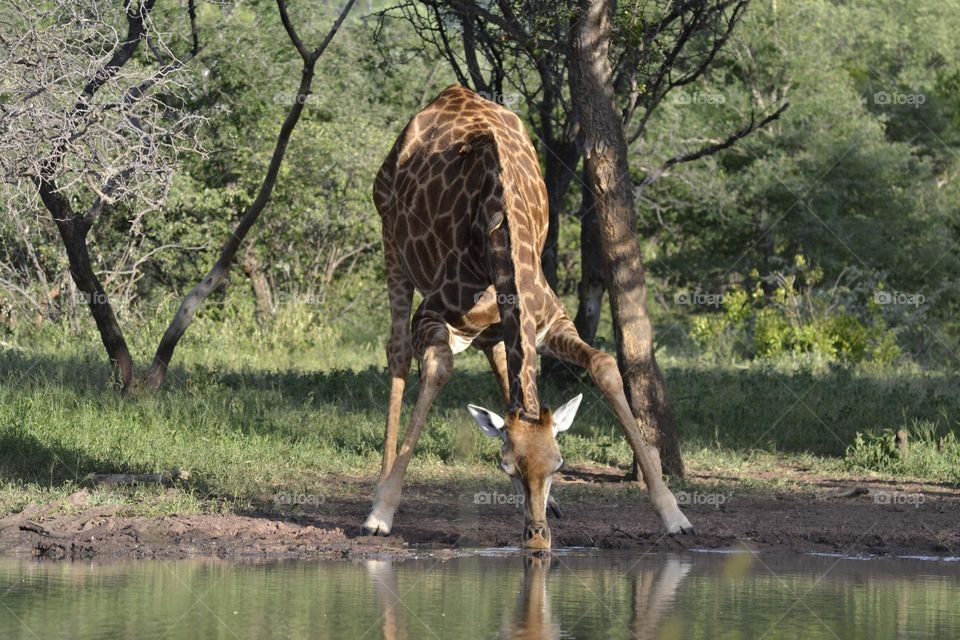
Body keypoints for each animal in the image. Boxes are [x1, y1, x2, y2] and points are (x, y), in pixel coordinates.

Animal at [363, 85, 694, 549]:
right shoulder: (430, 315)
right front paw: (382, 512)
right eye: (506, 467)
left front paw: (674, 514)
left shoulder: (550, 321)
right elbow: (438, 368)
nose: (537, 538)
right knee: (397, 353)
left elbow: (603, 365)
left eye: (559, 464)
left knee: (502, 362)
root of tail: (450, 91)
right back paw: (379, 486)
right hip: (390, 239)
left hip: (493, 322)